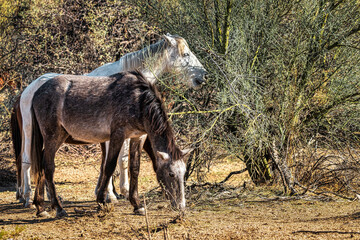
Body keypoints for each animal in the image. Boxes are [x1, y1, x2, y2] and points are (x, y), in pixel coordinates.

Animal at [31, 71, 188, 218]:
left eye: (184, 173)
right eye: (171, 174)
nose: (181, 206)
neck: (139, 101)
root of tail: (37, 93)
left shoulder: (138, 137)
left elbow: (134, 169)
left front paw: (136, 205)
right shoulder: (118, 135)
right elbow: (109, 166)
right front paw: (101, 201)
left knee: (42, 167)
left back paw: (41, 207)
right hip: (53, 138)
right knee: (48, 168)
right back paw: (58, 208)